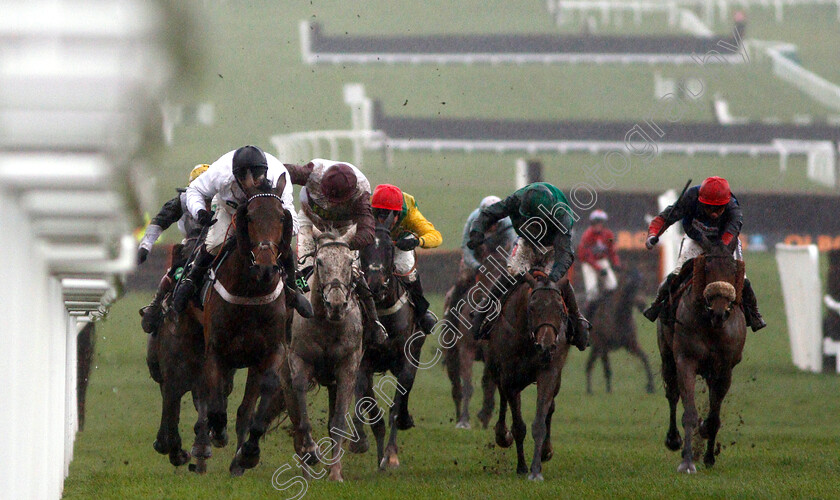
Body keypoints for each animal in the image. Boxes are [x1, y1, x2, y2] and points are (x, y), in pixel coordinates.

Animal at [192, 177, 294, 476]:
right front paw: (216, 433)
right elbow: (215, 401)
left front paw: (248, 453)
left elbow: (254, 404)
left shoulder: (270, 351)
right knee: (208, 393)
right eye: (249, 216)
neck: (250, 293)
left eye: (282, 217)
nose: (266, 269)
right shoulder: (215, 350)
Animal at [282, 226, 364, 480]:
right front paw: (310, 452)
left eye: (349, 261)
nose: (336, 304)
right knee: (295, 416)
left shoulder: (348, 367)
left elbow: (337, 422)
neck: (327, 325)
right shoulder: (299, 362)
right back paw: (305, 470)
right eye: (319, 261)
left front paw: (335, 473)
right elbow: (302, 415)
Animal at [352, 226, 424, 468]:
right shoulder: (364, 360)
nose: (375, 284)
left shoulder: (406, 359)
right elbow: (369, 405)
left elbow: (396, 405)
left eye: (389, 249)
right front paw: (361, 440)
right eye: (363, 249)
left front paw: (390, 455)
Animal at [482, 272, 576, 482]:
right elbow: (518, 426)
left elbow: (540, 421)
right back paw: (502, 434)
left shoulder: (549, 372)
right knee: (502, 398)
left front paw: (536, 469)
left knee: (551, 406)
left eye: (560, 309)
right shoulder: (510, 379)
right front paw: (522, 467)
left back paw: (546, 450)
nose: (546, 346)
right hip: (496, 368)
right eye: (532, 308)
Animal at [656, 237, 748, 472]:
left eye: (733, 270)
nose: (719, 312)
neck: (711, 326)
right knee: (672, 395)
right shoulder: (685, 361)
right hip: (667, 357)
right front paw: (687, 462)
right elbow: (689, 412)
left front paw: (708, 455)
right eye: (706, 268)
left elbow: (714, 417)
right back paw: (674, 439)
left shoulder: (724, 369)